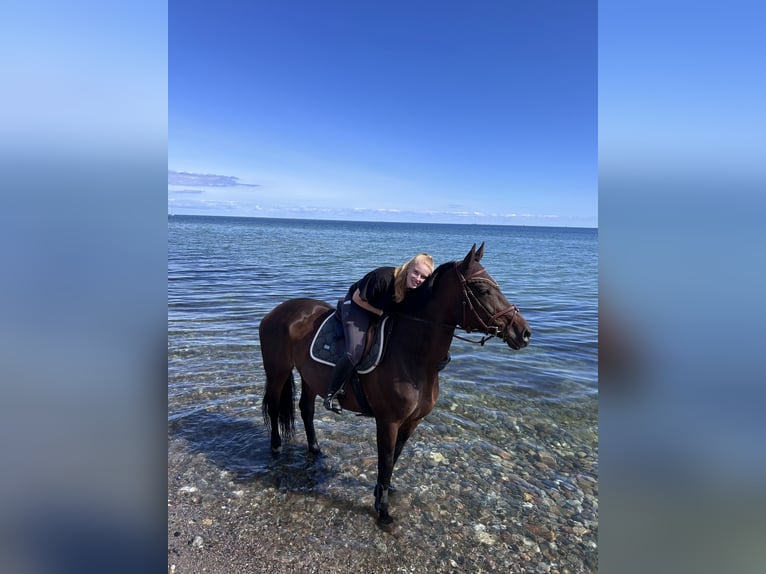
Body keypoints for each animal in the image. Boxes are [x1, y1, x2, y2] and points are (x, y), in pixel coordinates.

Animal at [260, 243, 532, 528]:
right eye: (482, 290)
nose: (523, 332)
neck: (411, 355)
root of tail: (277, 311)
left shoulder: (412, 422)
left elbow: (395, 457)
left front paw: (384, 491)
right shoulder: (388, 421)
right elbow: (386, 459)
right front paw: (382, 510)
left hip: (310, 376)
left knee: (306, 409)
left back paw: (315, 449)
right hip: (278, 371)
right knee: (275, 407)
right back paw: (276, 446)